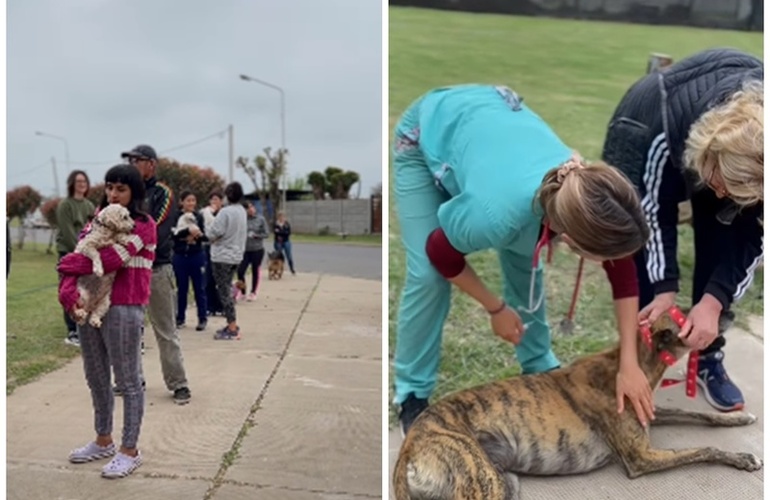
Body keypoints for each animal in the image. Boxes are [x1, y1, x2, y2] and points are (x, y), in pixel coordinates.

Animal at [392, 308, 760, 500]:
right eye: (689, 315)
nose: (729, 310)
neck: (631, 363)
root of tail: (408, 448)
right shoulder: (640, 457)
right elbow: (704, 449)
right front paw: (744, 458)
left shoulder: (649, 414)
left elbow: (696, 413)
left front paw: (739, 419)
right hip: (483, 482)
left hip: (503, 481)